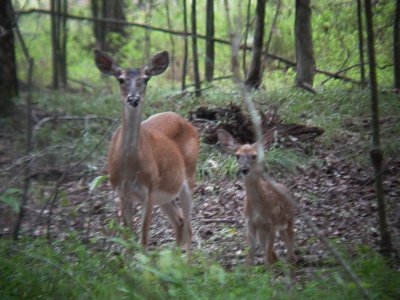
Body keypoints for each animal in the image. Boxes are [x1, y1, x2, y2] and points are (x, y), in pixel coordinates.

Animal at [95, 50, 198, 256]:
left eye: (146, 79)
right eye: (120, 79)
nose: (133, 99)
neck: (130, 168)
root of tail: (185, 120)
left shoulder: (148, 190)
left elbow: (143, 239)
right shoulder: (122, 193)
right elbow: (127, 238)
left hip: (188, 176)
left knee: (189, 226)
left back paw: (187, 263)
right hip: (165, 193)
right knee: (180, 222)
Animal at [217, 128, 296, 264]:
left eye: (254, 156)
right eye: (237, 155)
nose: (244, 169)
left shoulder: (271, 223)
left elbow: (268, 258)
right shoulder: (250, 223)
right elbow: (250, 256)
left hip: (289, 219)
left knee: (289, 248)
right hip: (264, 231)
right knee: (275, 253)